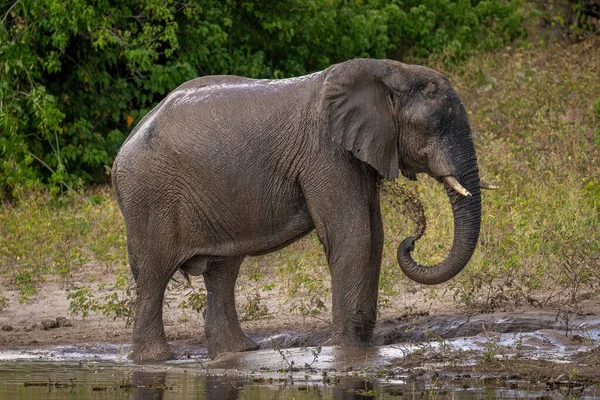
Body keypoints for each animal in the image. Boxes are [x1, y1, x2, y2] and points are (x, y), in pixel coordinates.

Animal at [111, 58, 488, 362]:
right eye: (433, 126)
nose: (412, 240)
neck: (388, 71)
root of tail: (122, 151)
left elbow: (374, 234)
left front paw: (362, 346)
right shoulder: (326, 153)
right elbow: (353, 234)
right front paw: (346, 349)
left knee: (222, 271)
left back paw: (238, 352)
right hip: (149, 199)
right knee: (154, 273)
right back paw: (155, 361)